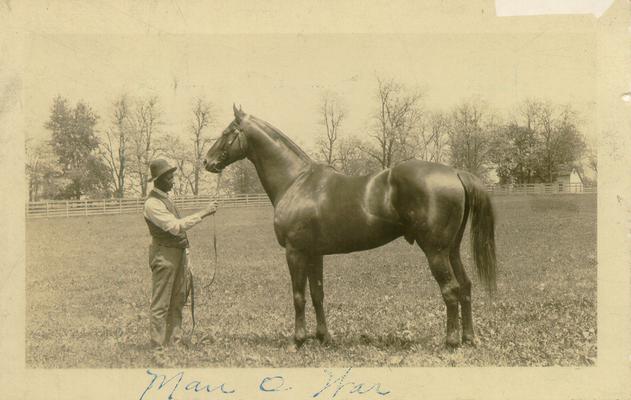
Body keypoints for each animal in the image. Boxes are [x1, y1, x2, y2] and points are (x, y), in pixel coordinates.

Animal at [205, 104, 496, 348]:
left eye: (226, 132)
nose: (207, 162)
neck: (296, 181)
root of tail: (455, 172)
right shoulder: (314, 254)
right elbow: (317, 294)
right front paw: (323, 337)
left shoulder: (295, 252)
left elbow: (298, 296)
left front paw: (298, 341)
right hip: (451, 249)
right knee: (466, 286)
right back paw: (469, 338)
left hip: (435, 251)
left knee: (451, 290)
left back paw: (451, 342)